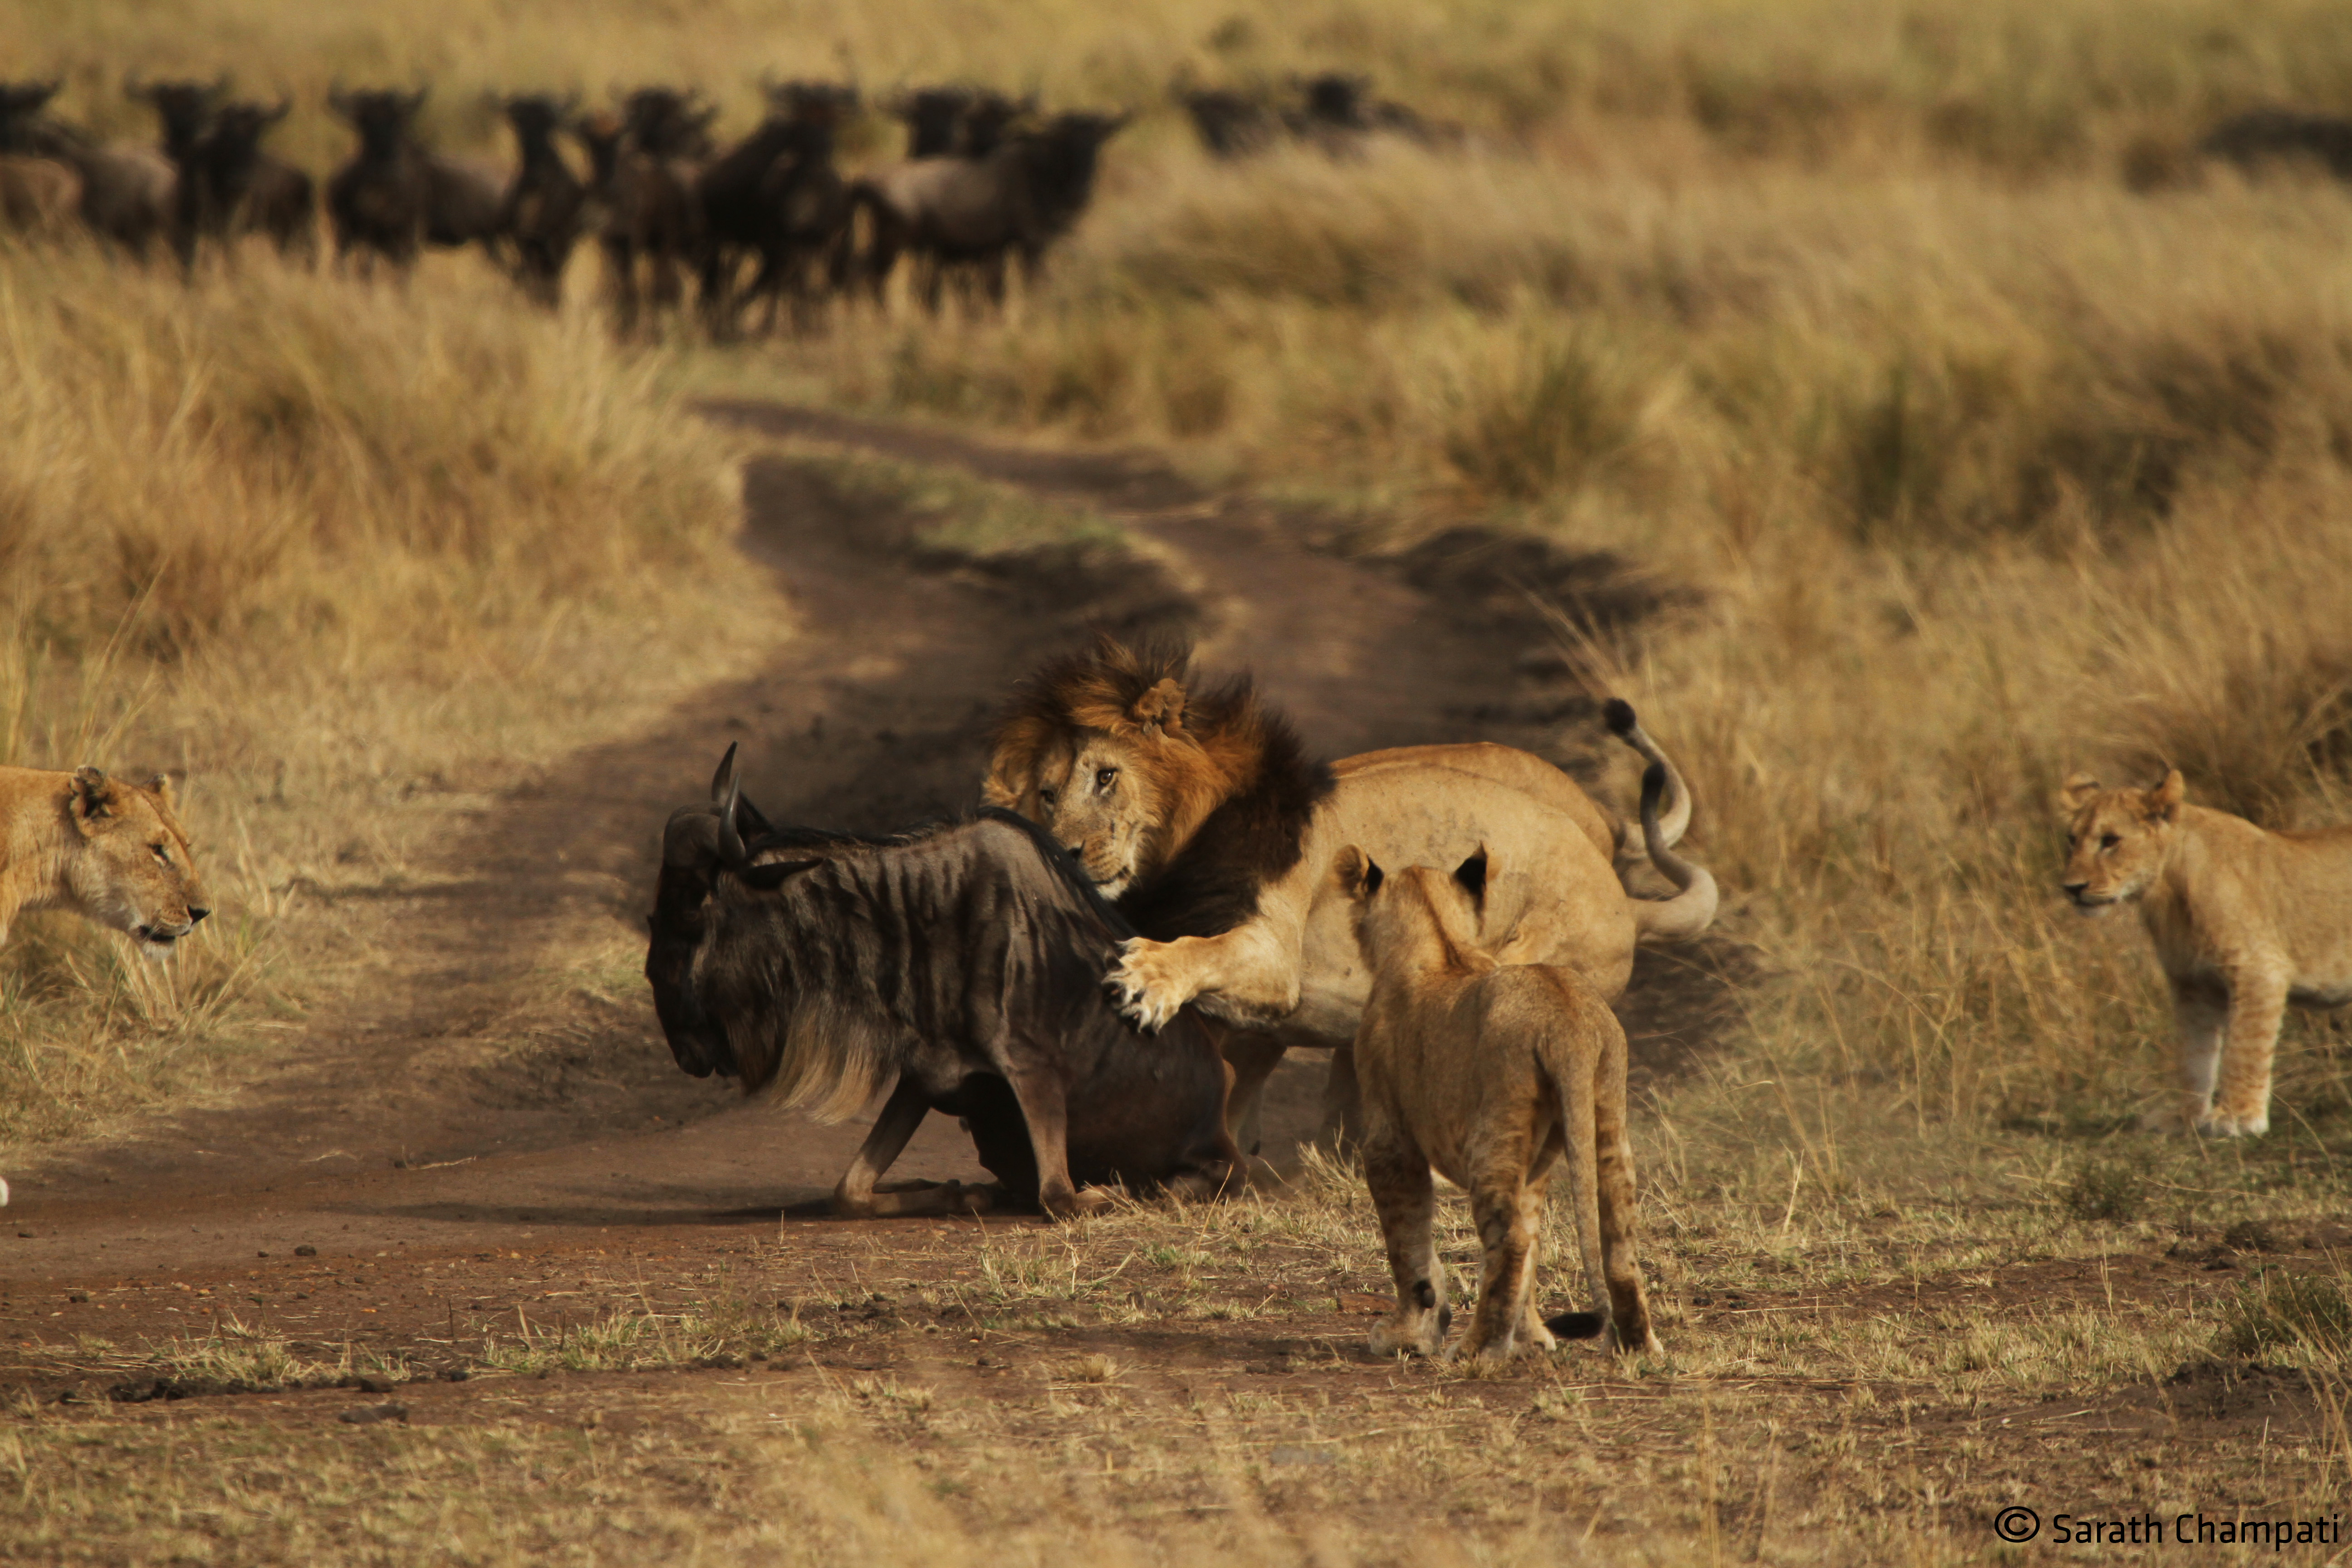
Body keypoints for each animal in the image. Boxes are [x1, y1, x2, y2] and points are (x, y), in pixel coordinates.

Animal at [983, 639, 1721, 1142]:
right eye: (1046, 795)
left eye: (1107, 777)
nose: (1066, 852)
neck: (1168, 861)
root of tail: (1618, 893)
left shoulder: (1273, 954)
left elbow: (1200, 952)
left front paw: (1147, 979)